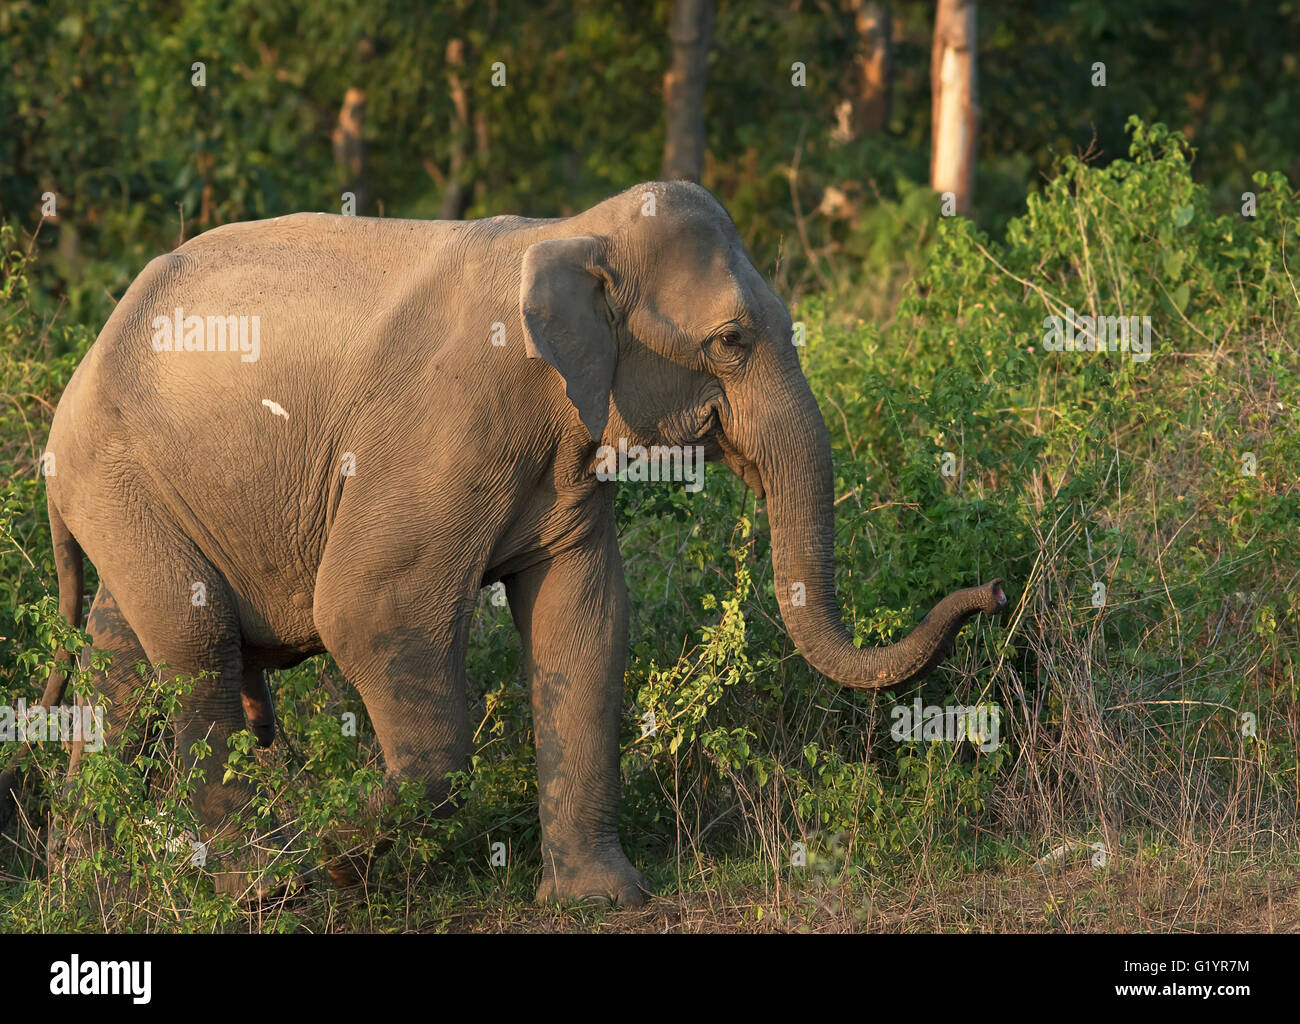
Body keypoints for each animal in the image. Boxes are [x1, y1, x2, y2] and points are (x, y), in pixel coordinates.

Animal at [27, 181, 1003, 904]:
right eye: (731, 341)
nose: (991, 594)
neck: (572, 234)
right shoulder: (442, 424)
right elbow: (371, 612)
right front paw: (331, 859)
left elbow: (585, 621)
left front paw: (602, 902)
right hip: (114, 471)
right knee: (197, 646)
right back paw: (254, 885)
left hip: (129, 494)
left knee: (122, 659)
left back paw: (84, 889)